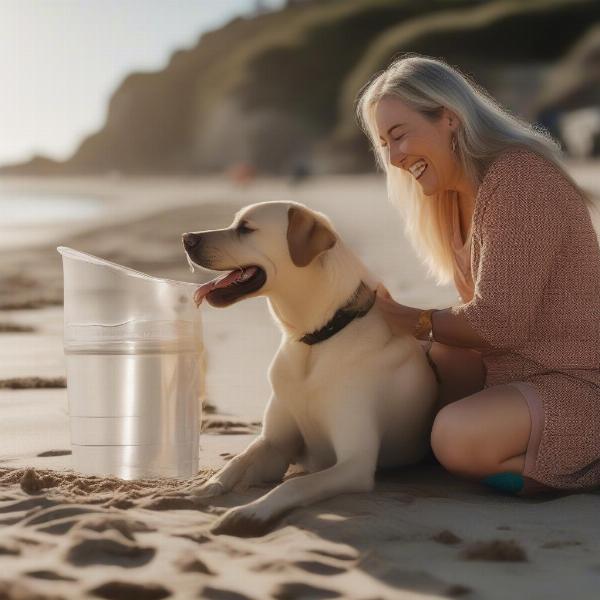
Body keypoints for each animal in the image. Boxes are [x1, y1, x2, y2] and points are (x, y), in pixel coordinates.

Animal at [182, 200, 436, 536]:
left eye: (246, 228)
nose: (186, 238)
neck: (314, 341)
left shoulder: (354, 462)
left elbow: (295, 485)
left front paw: (251, 512)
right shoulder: (275, 445)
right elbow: (238, 461)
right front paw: (205, 487)